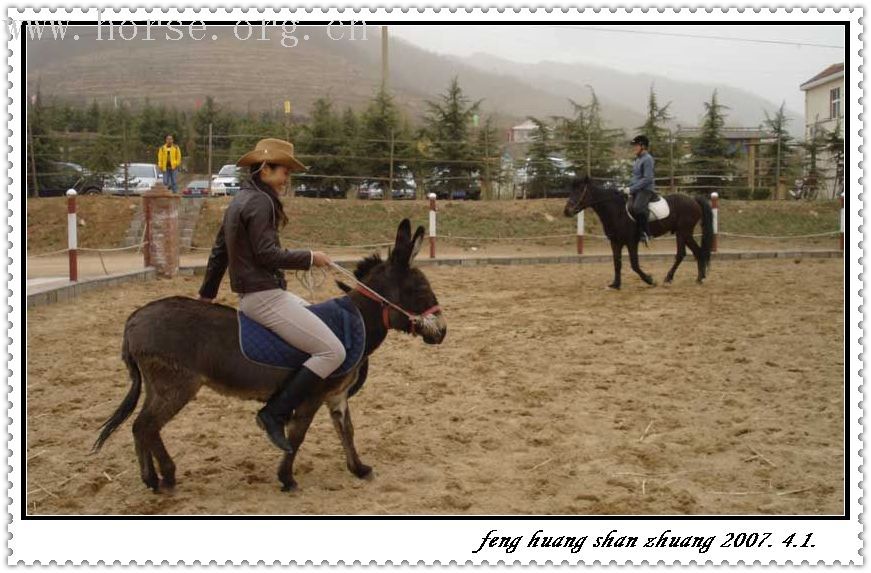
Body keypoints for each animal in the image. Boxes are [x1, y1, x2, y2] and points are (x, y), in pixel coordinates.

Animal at [92, 219, 447, 492]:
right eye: (419, 289)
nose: (442, 331)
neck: (355, 320)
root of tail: (134, 319)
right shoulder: (312, 393)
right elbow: (297, 436)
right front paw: (286, 478)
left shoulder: (336, 397)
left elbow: (347, 432)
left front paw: (358, 469)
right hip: (177, 387)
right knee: (146, 426)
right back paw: (162, 477)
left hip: (159, 387)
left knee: (141, 427)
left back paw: (156, 477)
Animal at [563, 177, 714, 289]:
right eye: (571, 191)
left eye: (580, 191)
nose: (567, 211)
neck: (616, 211)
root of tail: (693, 200)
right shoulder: (615, 242)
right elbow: (617, 263)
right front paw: (615, 284)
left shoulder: (631, 242)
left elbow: (634, 264)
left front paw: (649, 280)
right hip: (682, 233)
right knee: (694, 252)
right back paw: (698, 278)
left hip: (684, 232)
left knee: (684, 254)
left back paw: (673, 278)